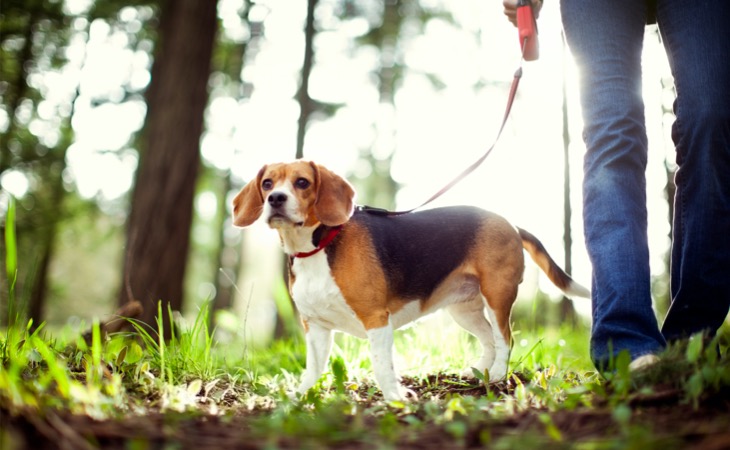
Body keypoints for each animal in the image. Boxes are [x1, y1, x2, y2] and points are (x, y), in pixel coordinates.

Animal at [233, 162, 592, 400]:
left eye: (302, 182)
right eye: (268, 183)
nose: (276, 199)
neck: (318, 245)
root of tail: (511, 224)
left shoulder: (377, 320)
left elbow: (381, 366)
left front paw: (395, 398)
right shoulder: (316, 327)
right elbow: (313, 368)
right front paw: (301, 396)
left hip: (497, 295)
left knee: (505, 339)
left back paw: (499, 376)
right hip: (464, 310)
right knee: (489, 339)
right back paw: (481, 373)